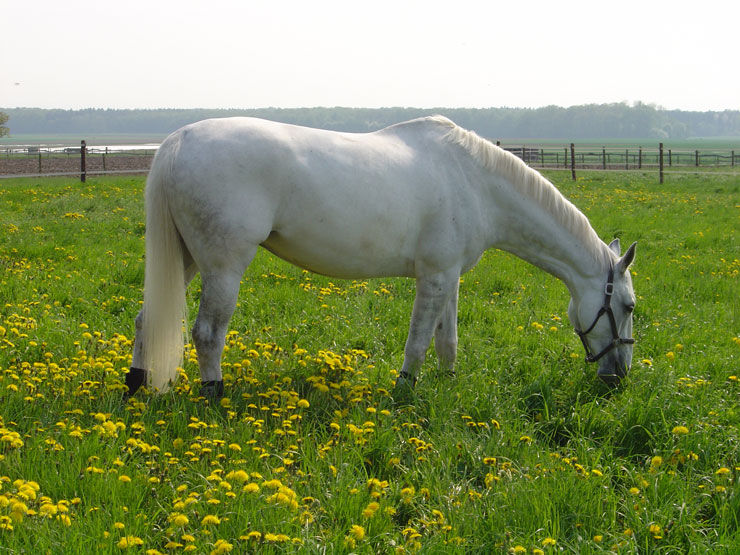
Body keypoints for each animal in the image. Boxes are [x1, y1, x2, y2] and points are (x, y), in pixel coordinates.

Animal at [125, 116, 636, 400]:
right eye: (628, 306)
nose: (619, 378)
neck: (475, 181)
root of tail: (176, 142)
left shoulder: (449, 277)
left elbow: (447, 340)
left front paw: (449, 384)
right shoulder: (434, 278)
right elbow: (418, 342)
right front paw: (404, 390)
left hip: (187, 259)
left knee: (146, 318)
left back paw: (135, 383)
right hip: (223, 267)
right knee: (208, 334)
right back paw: (215, 395)